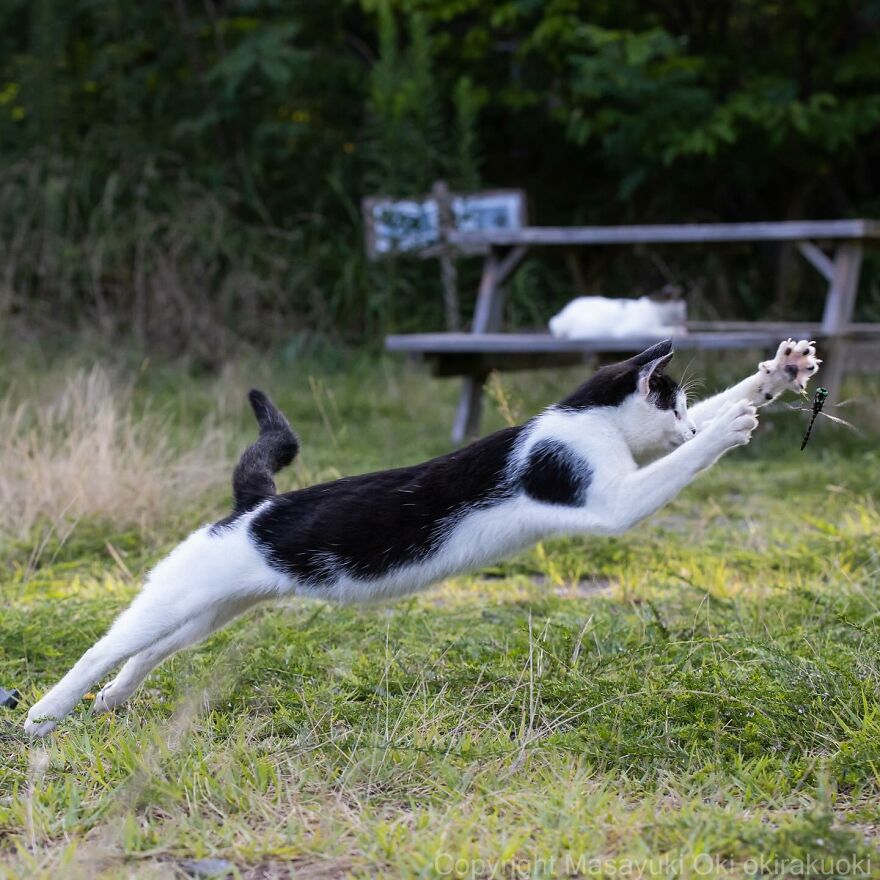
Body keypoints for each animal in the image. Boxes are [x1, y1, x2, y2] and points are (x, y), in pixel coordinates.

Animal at [25, 336, 820, 736]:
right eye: (673, 401)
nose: (684, 422)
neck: (581, 418)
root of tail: (255, 507)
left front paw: (774, 376)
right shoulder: (612, 499)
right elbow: (680, 466)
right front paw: (725, 428)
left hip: (211, 610)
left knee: (148, 653)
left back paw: (112, 702)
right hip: (178, 596)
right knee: (104, 647)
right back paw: (45, 715)